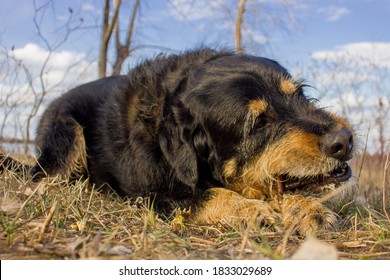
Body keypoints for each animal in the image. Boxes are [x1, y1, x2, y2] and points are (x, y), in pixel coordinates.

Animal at [1, 49, 354, 235]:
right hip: (67, 133)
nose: (344, 140)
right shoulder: (153, 196)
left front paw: (306, 207)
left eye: (299, 95)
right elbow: (206, 195)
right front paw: (247, 208)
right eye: (258, 123)